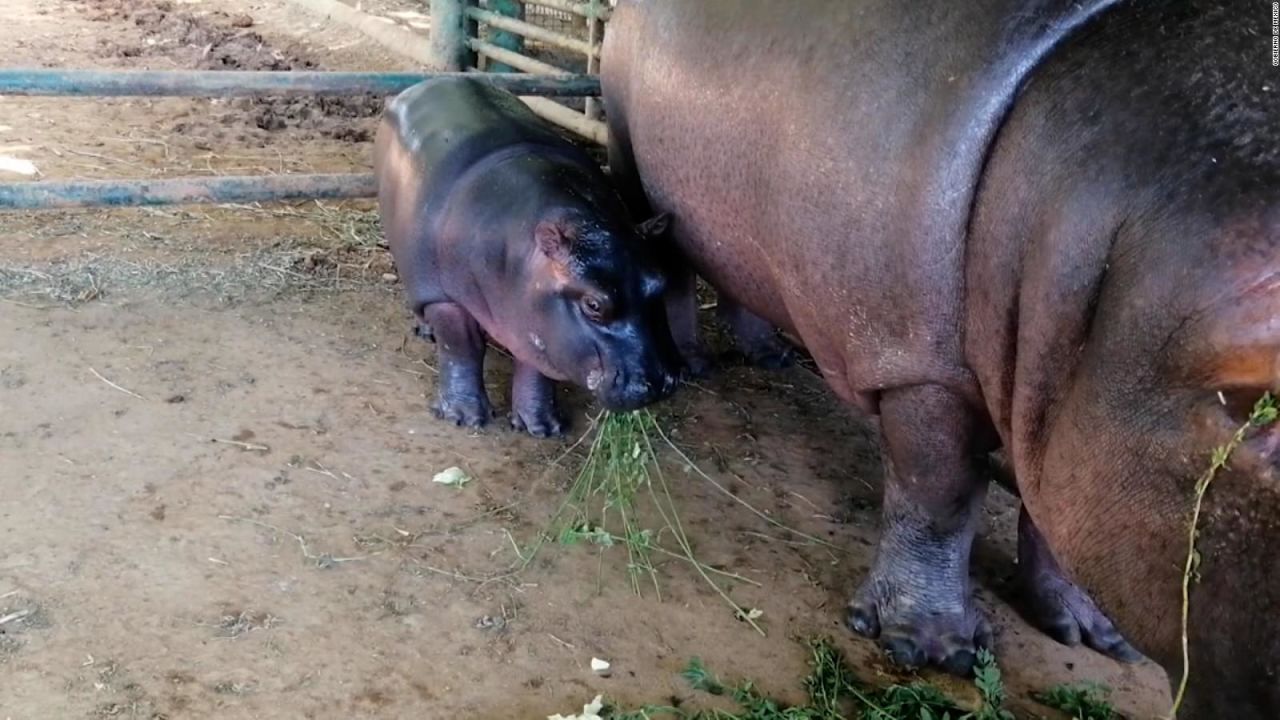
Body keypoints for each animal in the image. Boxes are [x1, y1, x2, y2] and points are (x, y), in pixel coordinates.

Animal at [373, 78, 686, 438]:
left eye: (660, 283)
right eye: (593, 304)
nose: (660, 382)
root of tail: (421, 85)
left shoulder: (536, 321)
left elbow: (536, 367)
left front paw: (542, 428)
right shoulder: (445, 298)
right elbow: (461, 348)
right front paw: (464, 417)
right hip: (417, 272)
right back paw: (427, 332)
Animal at [601, 2, 1280, 712]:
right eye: (1252, 395)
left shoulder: (1059, 405)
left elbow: (1050, 518)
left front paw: (1090, 635)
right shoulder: (923, 367)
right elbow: (939, 495)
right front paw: (928, 648)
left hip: (738, 227)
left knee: (736, 274)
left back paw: (772, 357)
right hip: (630, 158)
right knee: (670, 265)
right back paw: (695, 365)